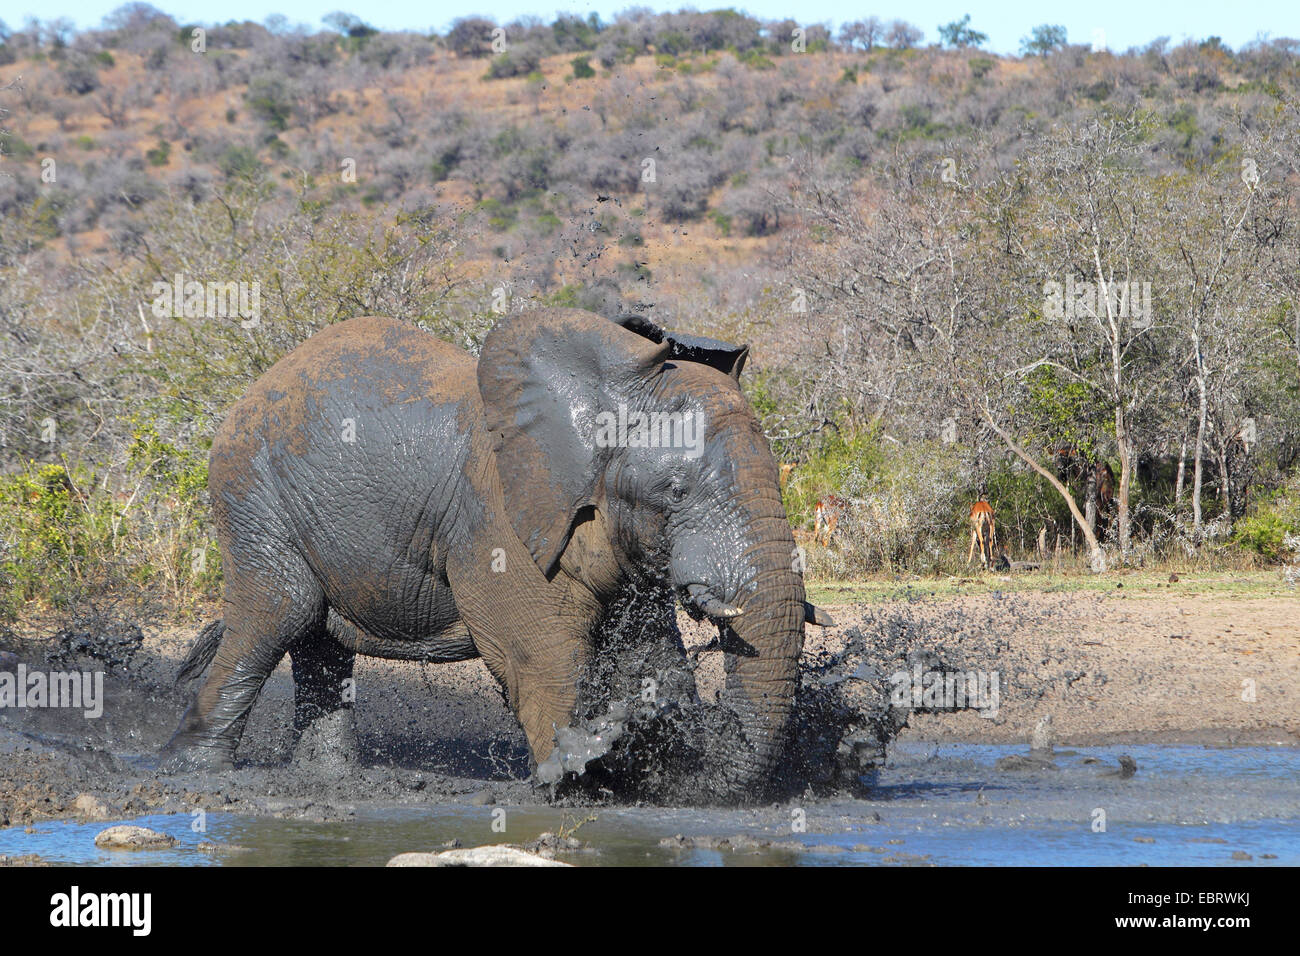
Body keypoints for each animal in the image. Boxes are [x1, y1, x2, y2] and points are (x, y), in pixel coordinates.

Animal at [159, 308, 821, 801]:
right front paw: (577, 780)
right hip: (249, 489)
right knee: (279, 614)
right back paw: (193, 773)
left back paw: (327, 780)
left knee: (319, 640)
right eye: (676, 491)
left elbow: (649, 656)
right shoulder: (497, 517)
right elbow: (540, 651)